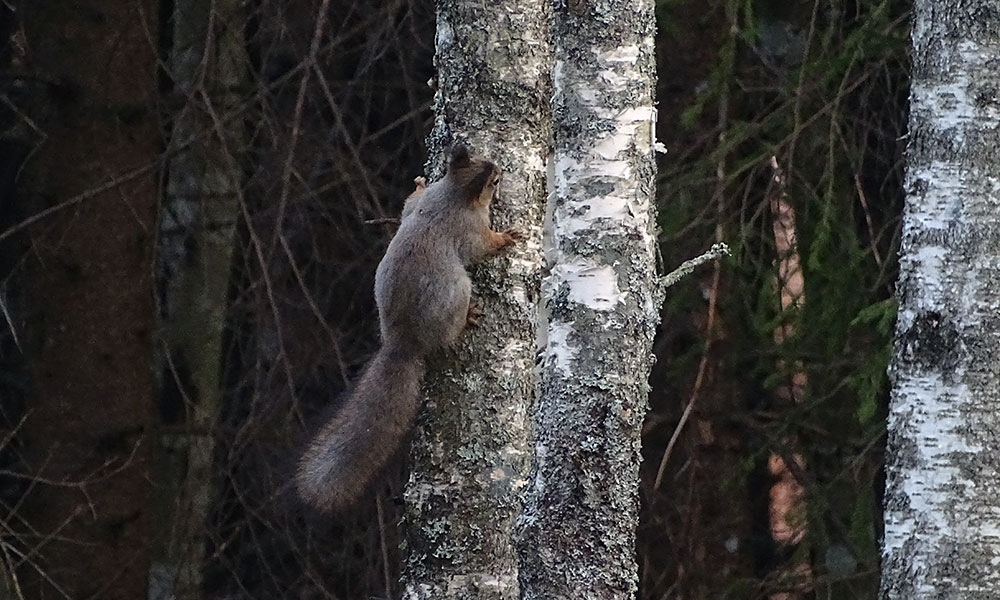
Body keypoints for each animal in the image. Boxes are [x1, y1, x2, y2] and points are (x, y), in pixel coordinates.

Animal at [292, 144, 520, 510]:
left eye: (477, 159)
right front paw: (507, 237)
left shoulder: (421, 204)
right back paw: (468, 317)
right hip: (457, 292)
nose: (500, 169)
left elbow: (408, 204)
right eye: (493, 180)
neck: (452, 195)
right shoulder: (470, 229)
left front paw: (417, 182)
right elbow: (483, 246)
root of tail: (403, 341)